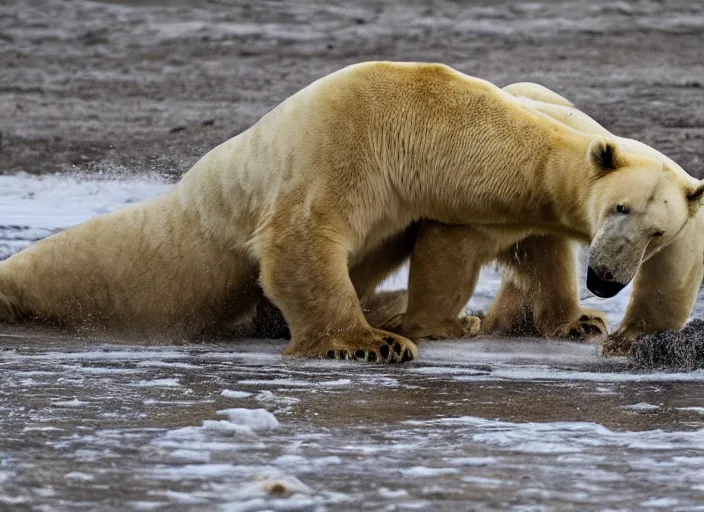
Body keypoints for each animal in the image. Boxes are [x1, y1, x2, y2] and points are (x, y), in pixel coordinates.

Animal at [1, 61, 704, 364]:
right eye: (617, 208)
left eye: (658, 231)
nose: (606, 281)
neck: (433, 119)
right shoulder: (348, 144)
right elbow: (305, 237)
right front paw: (378, 342)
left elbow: (526, 245)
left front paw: (579, 322)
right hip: (185, 247)